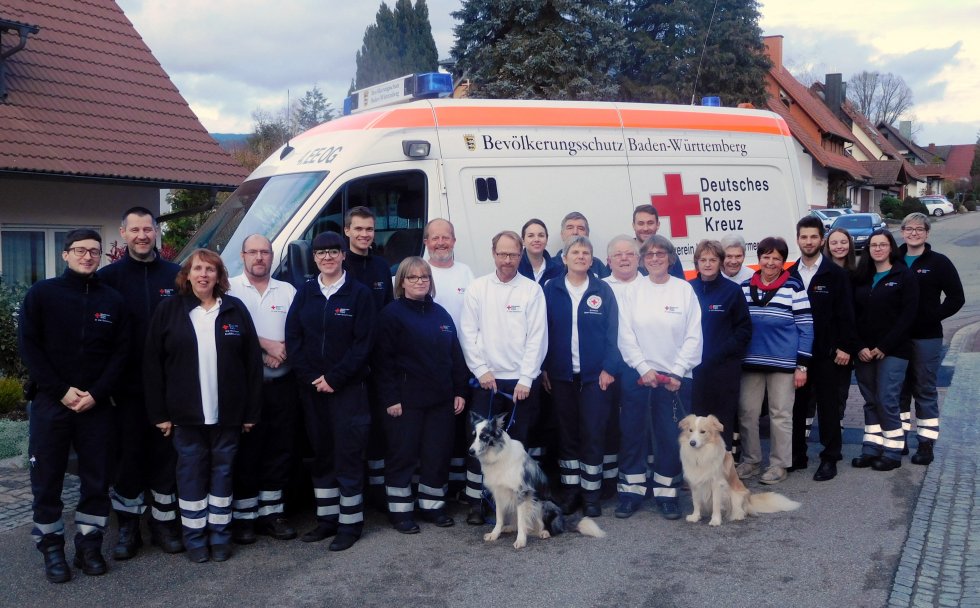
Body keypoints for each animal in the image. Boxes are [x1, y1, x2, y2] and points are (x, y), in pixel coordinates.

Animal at [468, 412, 605, 549]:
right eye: (474, 436)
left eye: (484, 437)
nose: (470, 451)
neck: (498, 455)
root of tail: (562, 521)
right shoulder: (499, 494)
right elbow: (499, 519)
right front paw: (494, 534)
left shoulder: (522, 493)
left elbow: (521, 522)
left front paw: (521, 540)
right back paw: (509, 528)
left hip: (542, 504)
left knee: (552, 529)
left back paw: (545, 532)